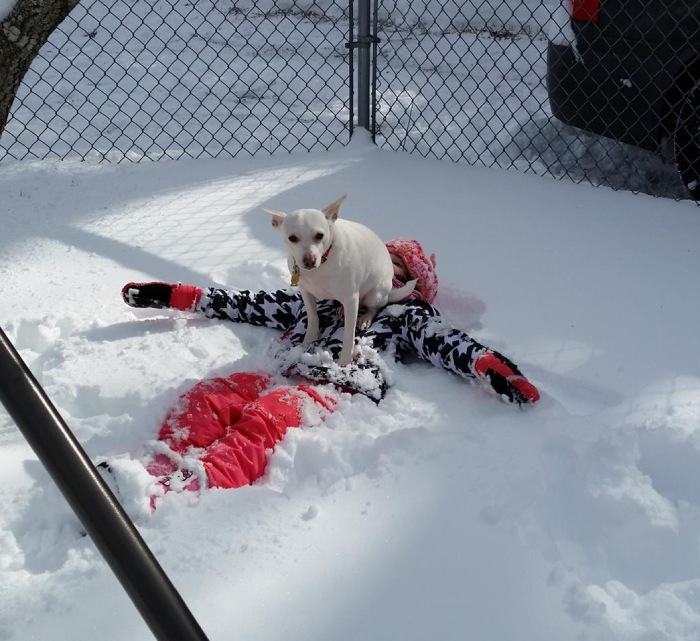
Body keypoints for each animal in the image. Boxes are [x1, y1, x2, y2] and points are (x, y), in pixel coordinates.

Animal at [264, 194, 416, 364]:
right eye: (292, 238)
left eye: (319, 235)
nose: (309, 261)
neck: (322, 263)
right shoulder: (306, 292)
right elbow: (313, 317)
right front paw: (308, 341)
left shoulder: (351, 299)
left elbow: (349, 334)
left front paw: (344, 362)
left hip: (375, 295)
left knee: (374, 307)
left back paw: (365, 318)